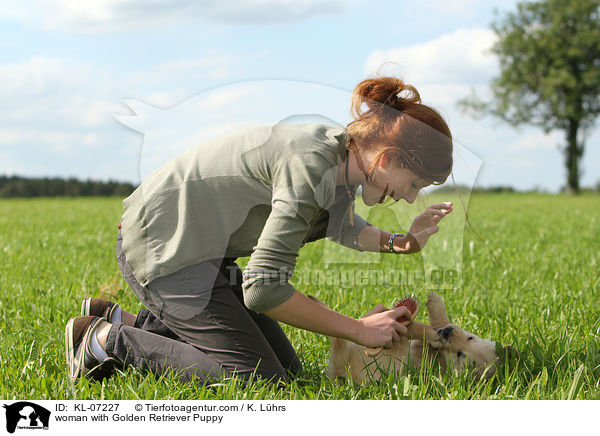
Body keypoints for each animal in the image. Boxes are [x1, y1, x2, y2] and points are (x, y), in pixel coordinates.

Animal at [312, 292, 504, 384]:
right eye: (470, 338)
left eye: (460, 355)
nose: (447, 333)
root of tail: (342, 371)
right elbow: (443, 321)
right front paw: (436, 303)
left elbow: (432, 327)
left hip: (399, 354)